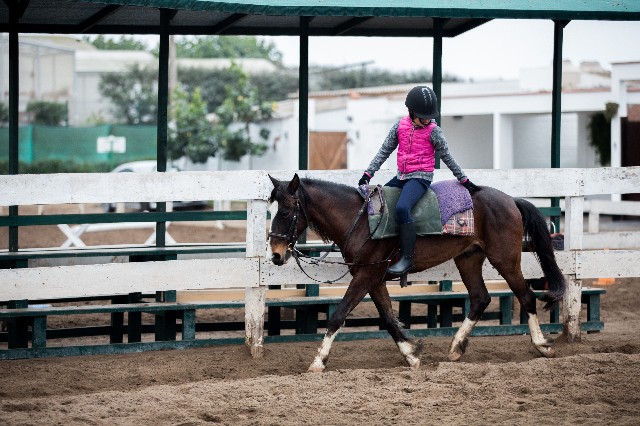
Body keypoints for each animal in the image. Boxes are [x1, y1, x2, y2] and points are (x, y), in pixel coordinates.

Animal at [268, 175, 564, 372]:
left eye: (285, 211)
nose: (275, 255)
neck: (360, 220)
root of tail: (511, 200)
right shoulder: (373, 278)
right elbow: (388, 318)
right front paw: (411, 354)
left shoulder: (365, 276)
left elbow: (338, 316)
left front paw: (318, 361)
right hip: (469, 258)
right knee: (481, 298)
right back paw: (456, 348)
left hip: (505, 259)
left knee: (526, 296)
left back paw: (542, 344)